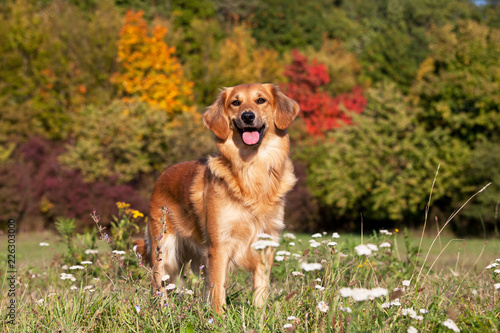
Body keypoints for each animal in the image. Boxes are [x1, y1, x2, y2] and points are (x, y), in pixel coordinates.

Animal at [133, 83, 298, 312]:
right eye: (235, 102)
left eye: (261, 100)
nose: (248, 116)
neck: (251, 168)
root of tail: (163, 175)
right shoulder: (219, 245)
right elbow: (218, 289)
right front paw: (218, 317)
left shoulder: (266, 243)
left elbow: (260, 290)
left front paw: (259, 315)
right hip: (164, 249)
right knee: (159, 283)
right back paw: (164, 311)